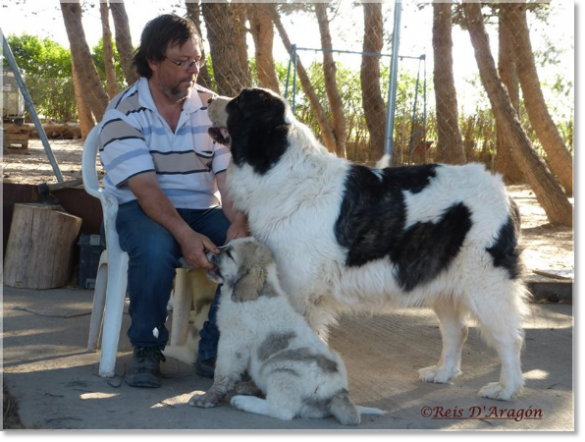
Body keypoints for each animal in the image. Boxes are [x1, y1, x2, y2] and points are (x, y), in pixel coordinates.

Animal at [206, 87, 528, 400]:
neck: (278, 167)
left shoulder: (301, 290)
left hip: (485, 283)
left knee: (509, 338)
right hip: (440, 278)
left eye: (238, 102)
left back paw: (506, 388)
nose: (208, 99)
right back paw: (443, 373)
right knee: (457, 330)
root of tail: (502, 189)